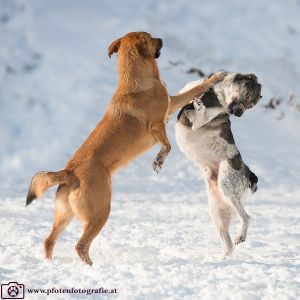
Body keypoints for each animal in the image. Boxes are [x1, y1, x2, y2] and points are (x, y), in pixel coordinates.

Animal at [25, 31, 224, 264]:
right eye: (150, 37)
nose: (162, 40)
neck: (135, 80)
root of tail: (69, 172)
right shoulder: (156, 125)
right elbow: (168, 145)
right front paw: (158, 161)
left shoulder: (170, 104)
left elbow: (193, 90)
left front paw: (213, 78)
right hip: (100, 211)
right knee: (81, 246)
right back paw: (91, 267)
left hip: (65, 215)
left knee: (49, 241)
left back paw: (50, 263)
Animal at [175, 72, 262, 258]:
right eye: (247, 96)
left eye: (250, 106)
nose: (238, 114)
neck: (215, 95)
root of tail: (249, 175)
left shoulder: (198, 119)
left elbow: (196, 112)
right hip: (217, 212)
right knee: (228, 246)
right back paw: (222, 260)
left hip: (227, 184)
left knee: (247, 218)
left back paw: (240, 236)